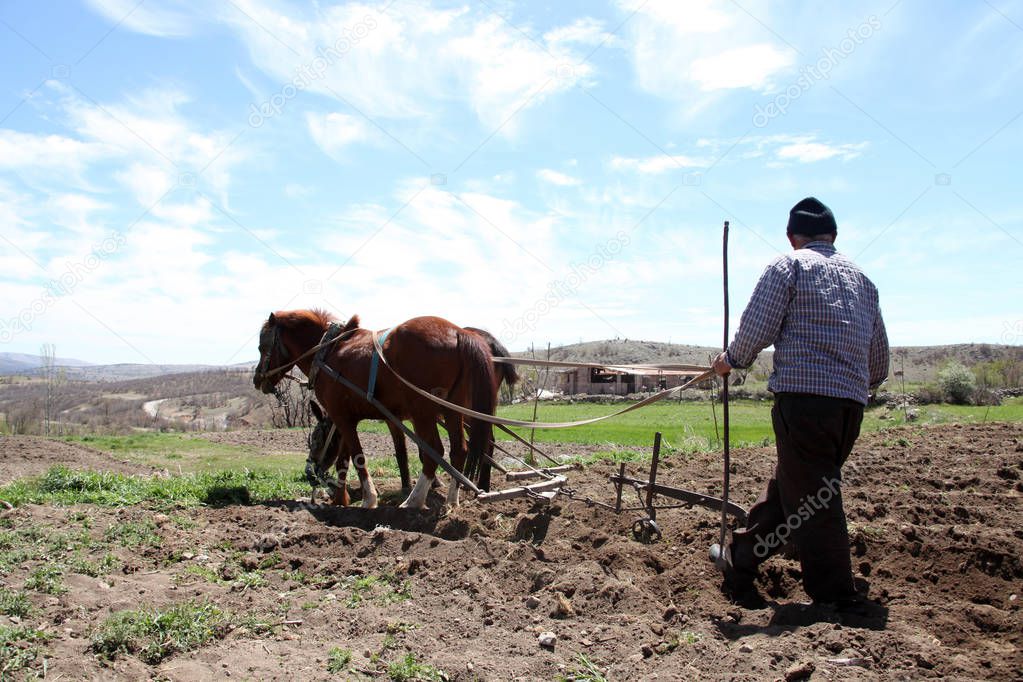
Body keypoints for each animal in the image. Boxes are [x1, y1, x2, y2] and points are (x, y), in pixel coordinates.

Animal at [253, 312, 497, 509]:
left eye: (262, 347)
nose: (257, 379)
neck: (329, 351)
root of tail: (457, 332)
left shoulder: (341, 416)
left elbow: (357, 456)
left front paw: (368, 499)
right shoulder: (349, 418)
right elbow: (344, 459)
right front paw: (340, 499)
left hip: (423, 412)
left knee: (434, 451)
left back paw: (414, 500)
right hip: (453, 410)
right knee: (459, 450)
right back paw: (451, 500)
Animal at [304, 327, 519, 505]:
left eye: (316, 438)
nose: (311, 472)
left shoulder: (393, 419)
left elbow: (404, 452)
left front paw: (410, 487)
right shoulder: (412, 418)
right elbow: (420, 452)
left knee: (481, 443)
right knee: (473, 444)